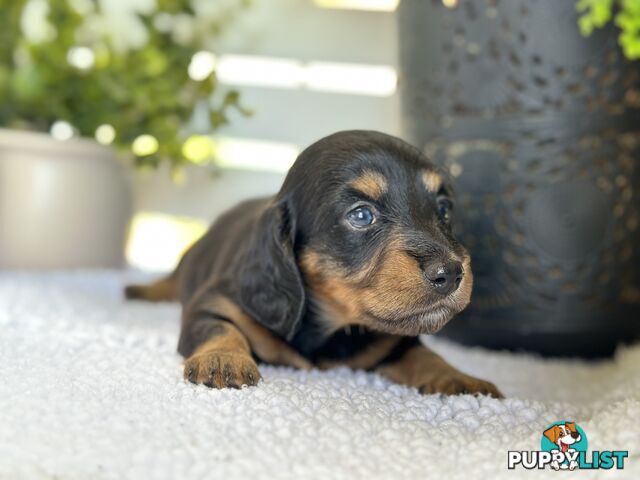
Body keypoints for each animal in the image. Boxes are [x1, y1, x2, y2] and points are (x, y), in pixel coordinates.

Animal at [127, 129, 502, 396]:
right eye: (361, 215)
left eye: (444, 209)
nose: (451, 273)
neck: (333, 327)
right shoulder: (212, 303)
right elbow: (219, 327)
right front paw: (223, 358)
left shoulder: (396, 342)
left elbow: (424, 354)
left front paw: (458, 377)